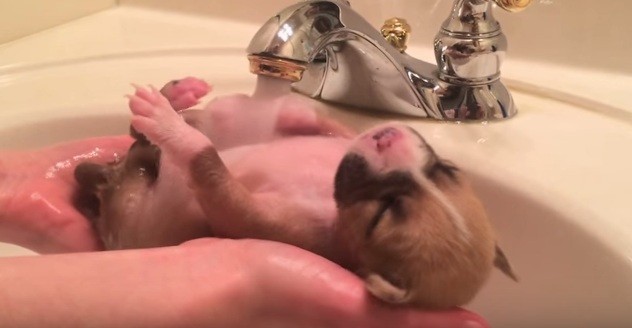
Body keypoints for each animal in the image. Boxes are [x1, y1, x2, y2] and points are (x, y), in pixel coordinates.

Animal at [75, 78, 520, 308]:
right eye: (448, 170)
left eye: (383, 215)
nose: (387, 135)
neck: (331, 201)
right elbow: (325, 125)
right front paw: (295, 112)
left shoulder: (253, 219)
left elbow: (209, 168)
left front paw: (175, 131)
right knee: (141, 135)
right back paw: (178, 95)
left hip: (135, 217)